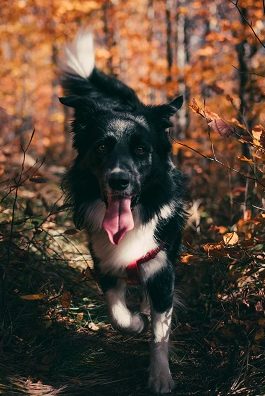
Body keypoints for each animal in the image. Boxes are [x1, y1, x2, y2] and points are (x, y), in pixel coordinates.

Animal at [58, 30, 187, 392]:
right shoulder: (104, 261)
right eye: (102, 146)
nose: (119, 181)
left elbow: (160, 332)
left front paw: (160, 376)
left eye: (142, 150)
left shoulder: (161, 267)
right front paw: (136, 323)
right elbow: (118, 314)